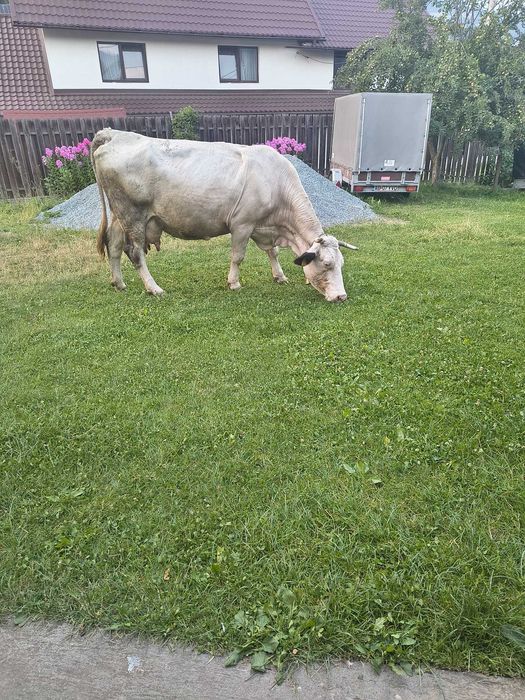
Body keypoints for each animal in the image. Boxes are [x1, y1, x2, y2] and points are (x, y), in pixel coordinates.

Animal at [91, 129, 357, 302]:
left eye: (342, 263)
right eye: (327, 264)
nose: (342, 296)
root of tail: (115, 134)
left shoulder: (262, 227)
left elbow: (272, 252)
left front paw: (279, 276)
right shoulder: (242, 224)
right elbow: (238, 256)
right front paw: (234, 283)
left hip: (119, 215)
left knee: (114, 246)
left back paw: (119, 283)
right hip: (133, 215)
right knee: (135, 253)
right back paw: (154, 288)